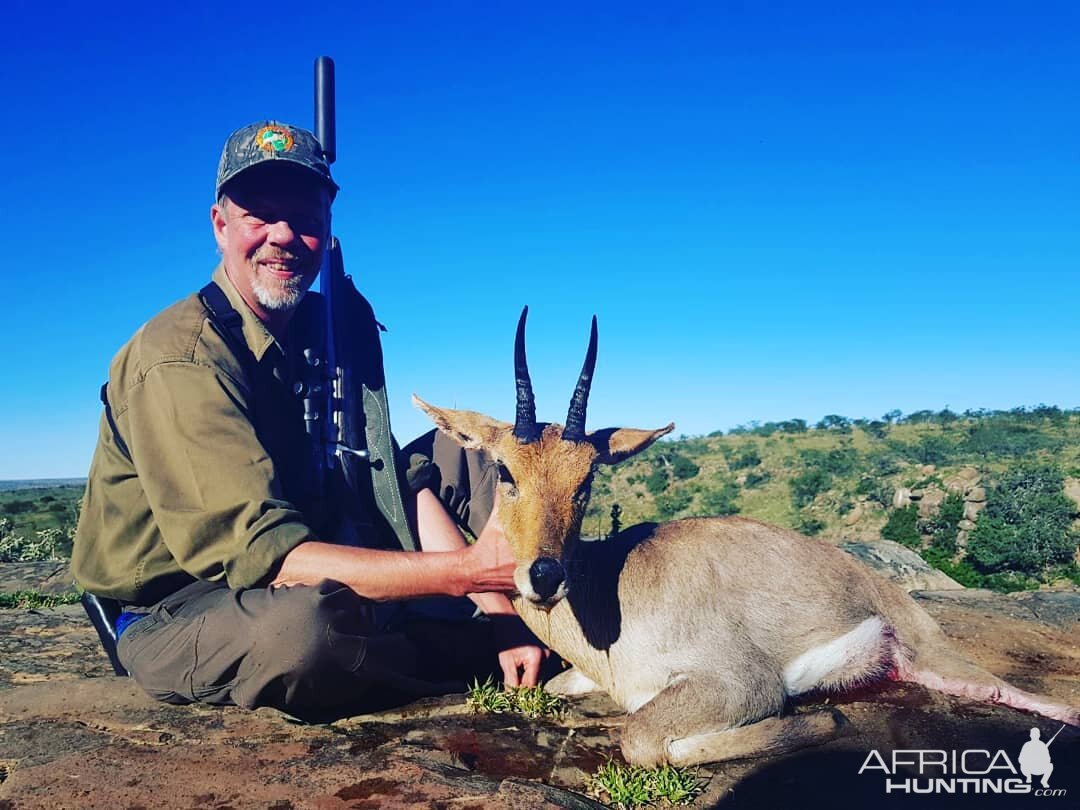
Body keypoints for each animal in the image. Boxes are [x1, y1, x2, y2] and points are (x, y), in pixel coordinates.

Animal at [408, 308, 1075, 768]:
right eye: (504, 469)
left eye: (588, 477)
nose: (545, 577)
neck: (607, 600)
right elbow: (558, 690)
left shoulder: (740, 683)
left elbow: (643, 737)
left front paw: (820, 723)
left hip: (939, 658)